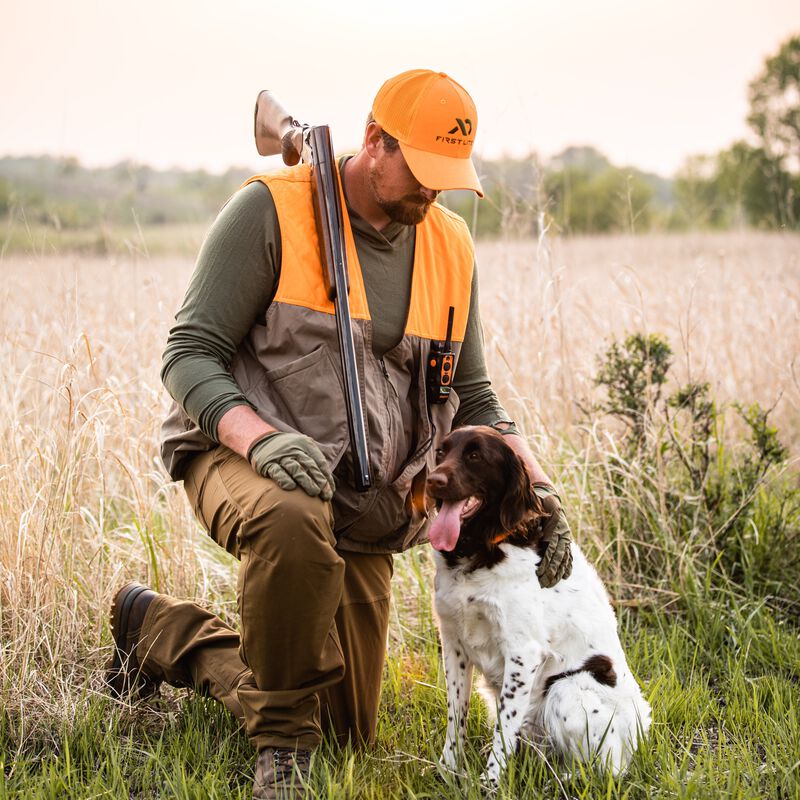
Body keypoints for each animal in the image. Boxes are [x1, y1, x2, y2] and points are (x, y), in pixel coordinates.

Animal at [424, 428, 648, 784]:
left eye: (475, 455)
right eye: (442, 452)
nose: (433, 481)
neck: (481, 548)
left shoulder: (523, 652)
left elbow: (504, 729)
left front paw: (490, 783)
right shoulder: (453, 642)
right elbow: (455, 714)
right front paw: (448, 770)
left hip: (567, 688)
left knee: (603, 770)